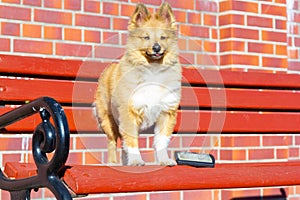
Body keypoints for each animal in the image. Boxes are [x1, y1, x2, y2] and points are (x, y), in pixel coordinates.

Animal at [95, 2, 182, 166]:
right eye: (146, 37)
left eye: (163, 37)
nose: (156, 47)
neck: (153, 69)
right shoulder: (128, 112)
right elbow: (131, 141)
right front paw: (136, 161)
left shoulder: (166, 112)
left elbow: (161, 140)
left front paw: (164, 160)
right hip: (107, 120)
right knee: (112, 141)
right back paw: (113, 163)